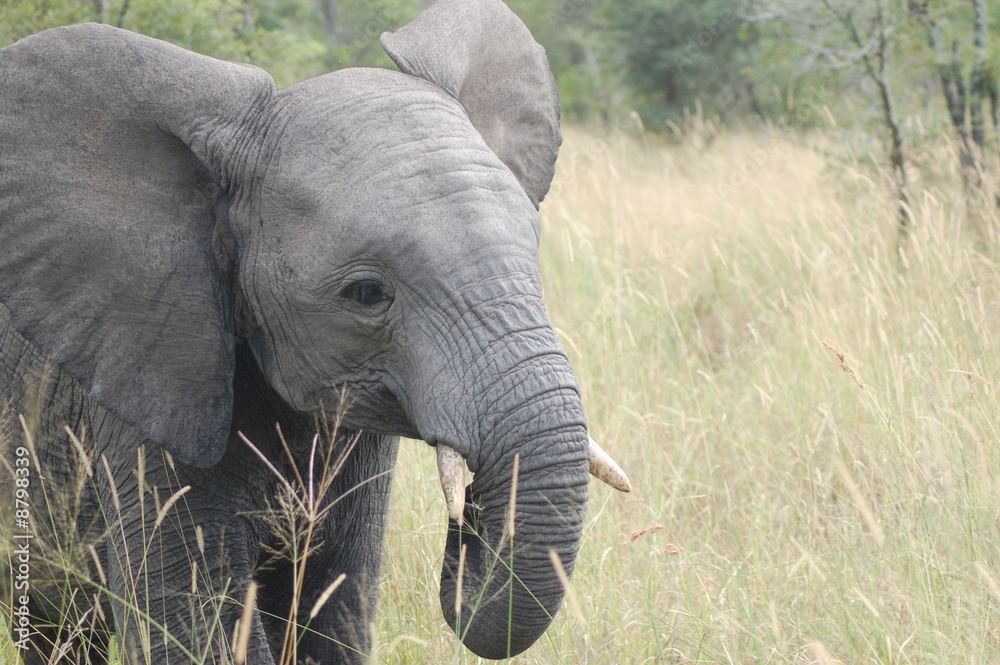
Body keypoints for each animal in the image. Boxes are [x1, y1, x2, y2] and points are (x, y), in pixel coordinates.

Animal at [0, 0, 631, 663]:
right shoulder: (149, 376)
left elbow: (336, 611)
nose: (466, 527)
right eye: (367, 293)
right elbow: (197, 626)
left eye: (533, 252)